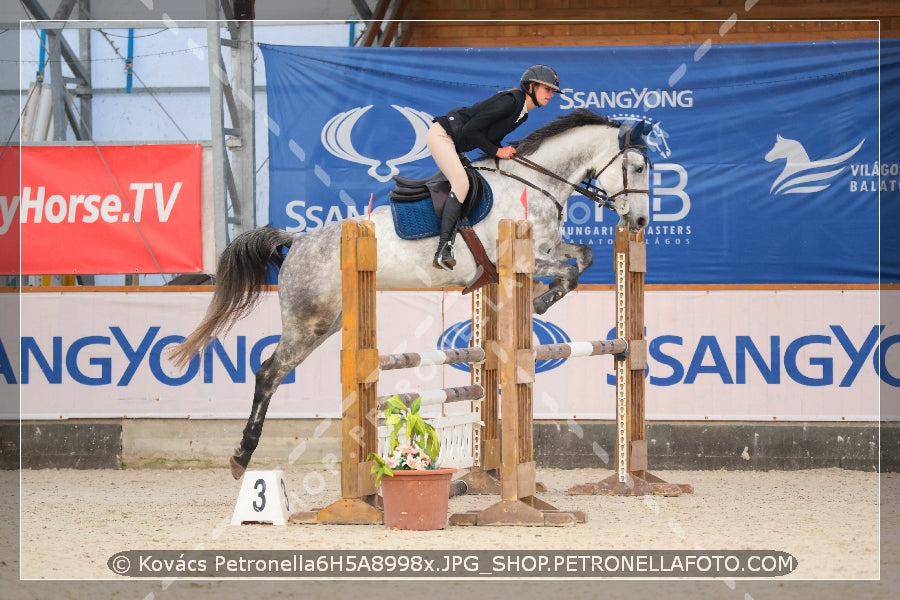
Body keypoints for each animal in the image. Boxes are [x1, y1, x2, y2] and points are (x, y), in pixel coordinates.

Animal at [167, 109, 648, 478]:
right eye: (640, 167)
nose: (641, 222)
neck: (534, 183)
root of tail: (298, 240)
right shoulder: (519, 258)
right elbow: (567, 273)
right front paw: (540, 301)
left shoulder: (547, 247)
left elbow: (582, 257)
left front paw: (542, 301)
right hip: (309, 321)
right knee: (268, 373)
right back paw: (241, 455)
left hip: (330, 321)